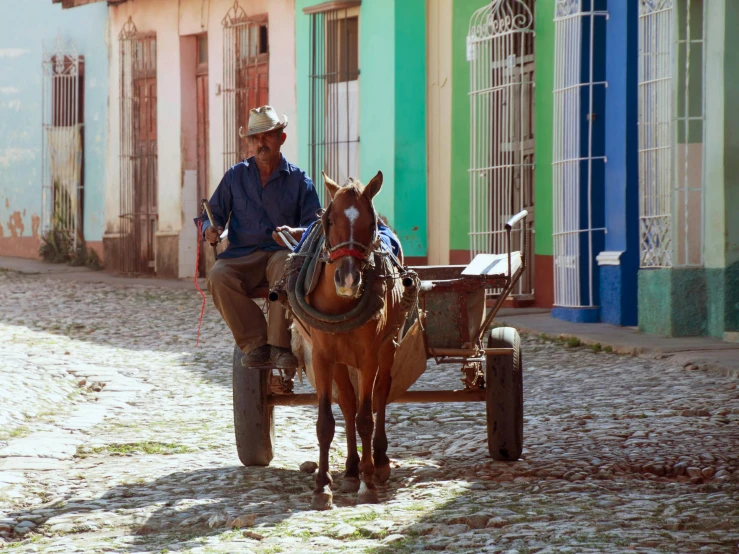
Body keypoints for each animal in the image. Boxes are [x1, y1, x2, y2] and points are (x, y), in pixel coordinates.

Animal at [304, 169, 410, 508]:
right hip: (340, 360)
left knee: (379, 396)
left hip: (387, 350)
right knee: (348, 404)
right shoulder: (322, 356)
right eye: (329, 219)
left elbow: (367, 417)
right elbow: (327, 422)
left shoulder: (369, 356)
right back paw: (351, 469)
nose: (348, 280)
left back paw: (378, 462)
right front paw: (322, 486)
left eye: (370, 222)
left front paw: (368, 483)